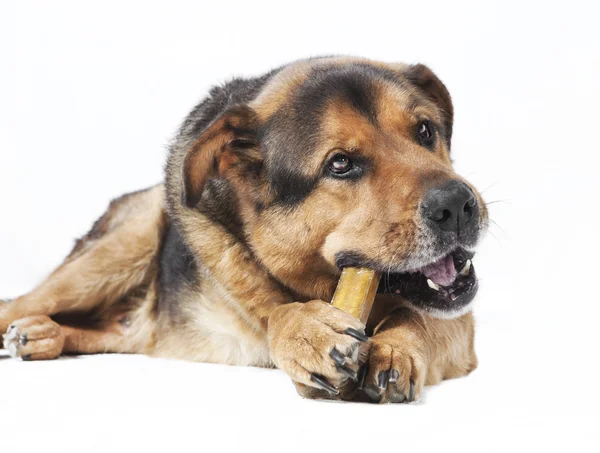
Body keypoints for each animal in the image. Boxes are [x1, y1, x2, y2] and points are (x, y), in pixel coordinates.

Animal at [0, 55, 488, 402]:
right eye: (340, 164)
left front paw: (398, 345)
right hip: (121, 245)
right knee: (22, 302)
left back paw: (42, 335)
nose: (457, 205)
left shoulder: (461, 328)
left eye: (425, 131)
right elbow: (272, 308)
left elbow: (419, 315)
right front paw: (305, 330)